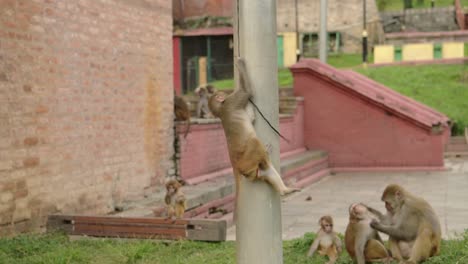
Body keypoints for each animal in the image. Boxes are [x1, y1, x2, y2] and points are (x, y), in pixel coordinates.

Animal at [208, 57, 300, 197]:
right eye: (221, 93)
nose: (222, 91)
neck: (220, 109)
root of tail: (235, 165)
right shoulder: (231, 101)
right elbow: (247, 92)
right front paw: (240, 63)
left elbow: (251, 117)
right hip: (248, 161)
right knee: (254, 142)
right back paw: (265, 153)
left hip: (251, 168)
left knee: (267, 171)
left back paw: (285, 190)